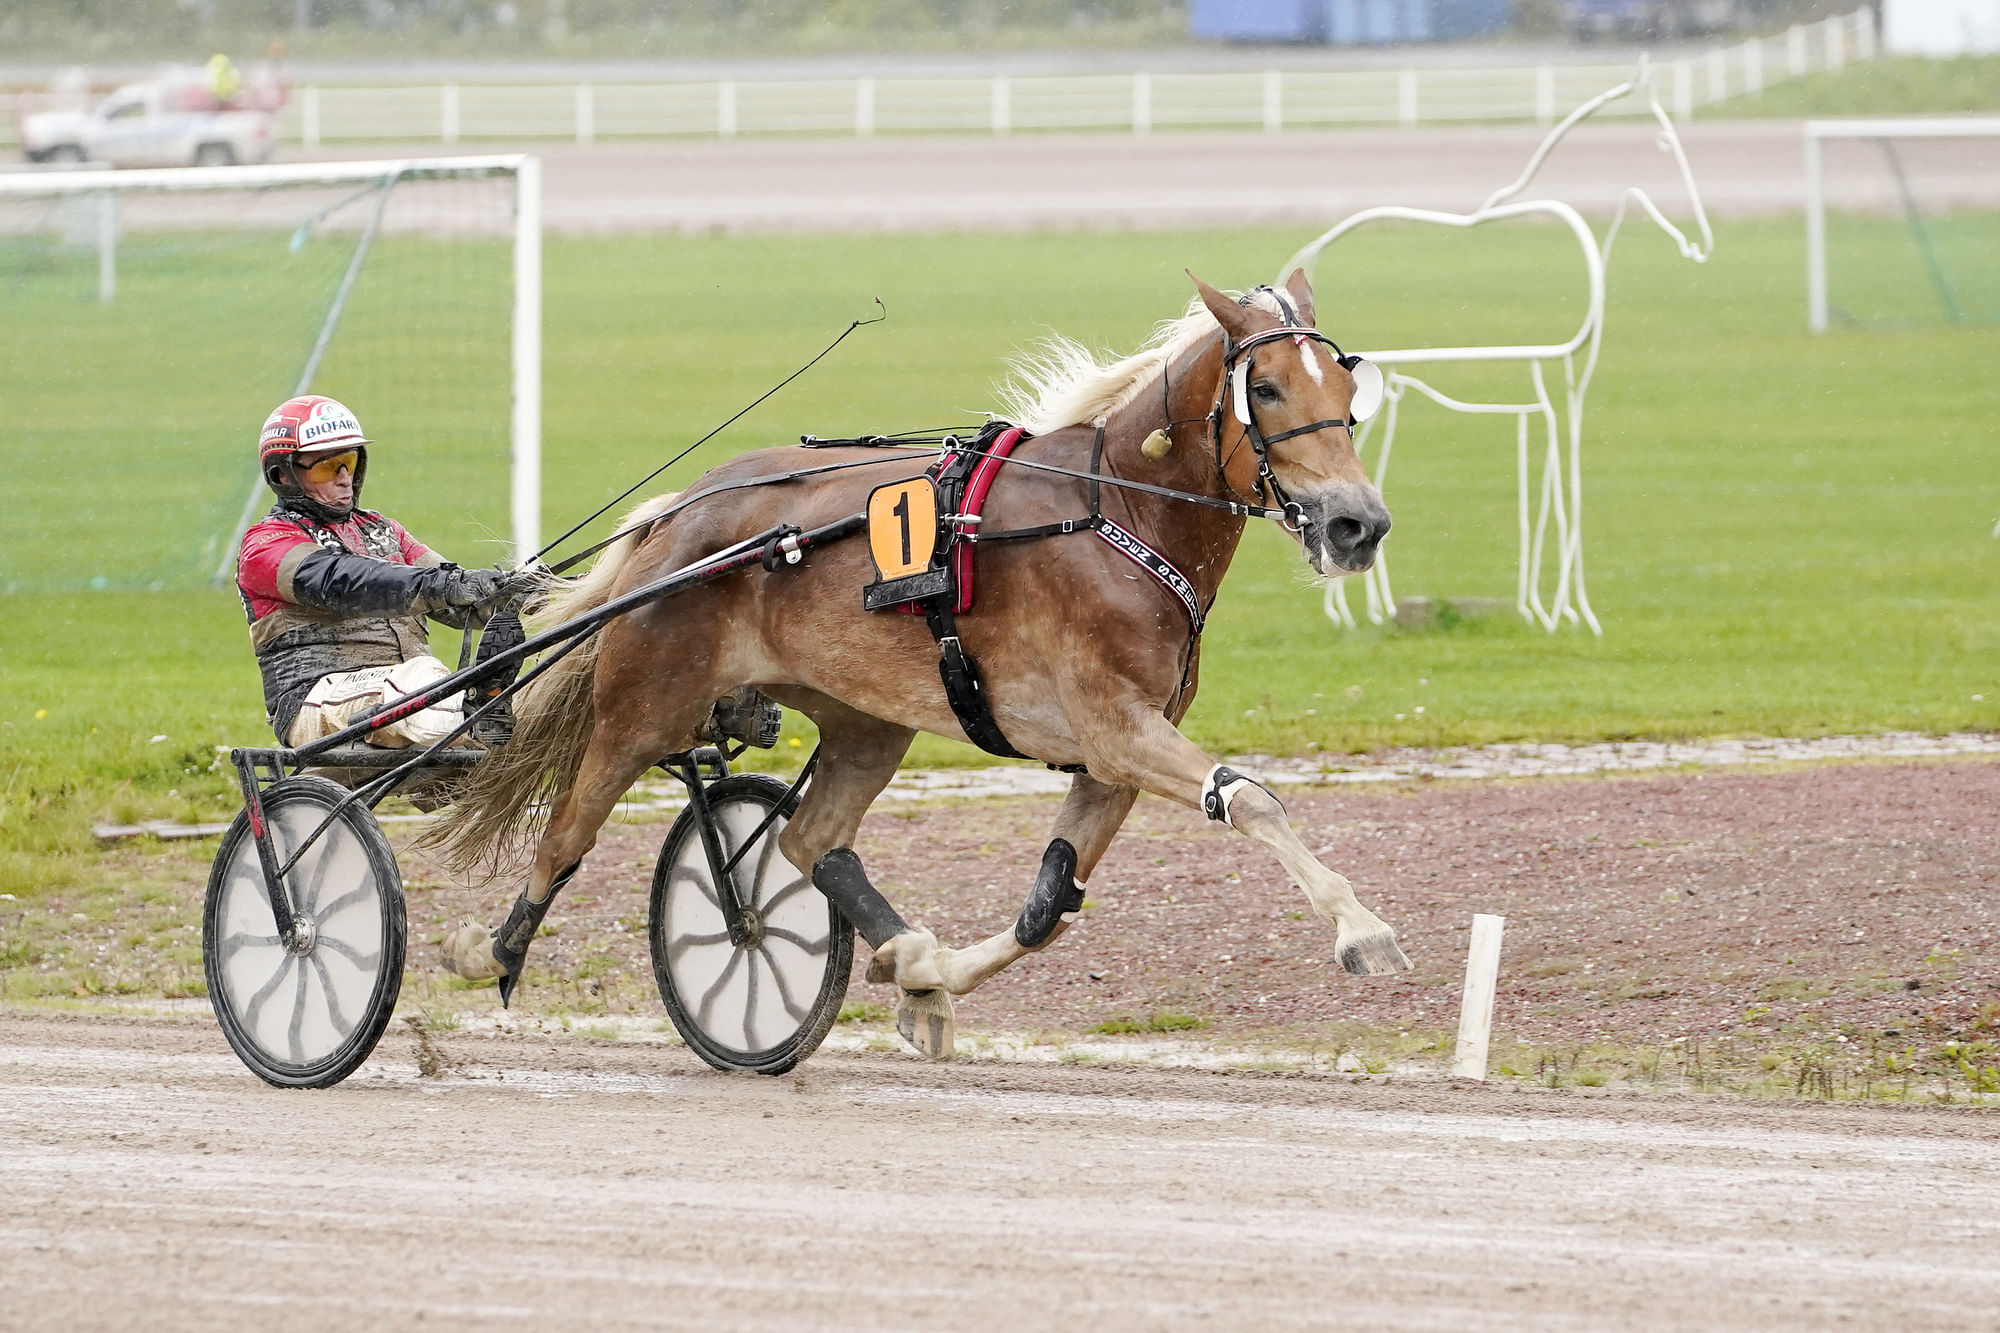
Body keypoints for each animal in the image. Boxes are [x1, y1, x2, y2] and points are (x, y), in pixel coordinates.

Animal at [434, 268, 1408, 1056]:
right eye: (1268, 388)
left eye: (1346, 385)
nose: (1358, 523)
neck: (1118, 512)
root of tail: (680, 510)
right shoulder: (1115, 726)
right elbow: (1251, 798)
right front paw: (1361, 928)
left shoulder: (1111, 758)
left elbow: (1048, 907)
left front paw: (928, 978)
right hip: (645, 703)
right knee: (568, 831)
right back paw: (488, 948)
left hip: (866, 720)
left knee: (809, 839)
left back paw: (895, 942)